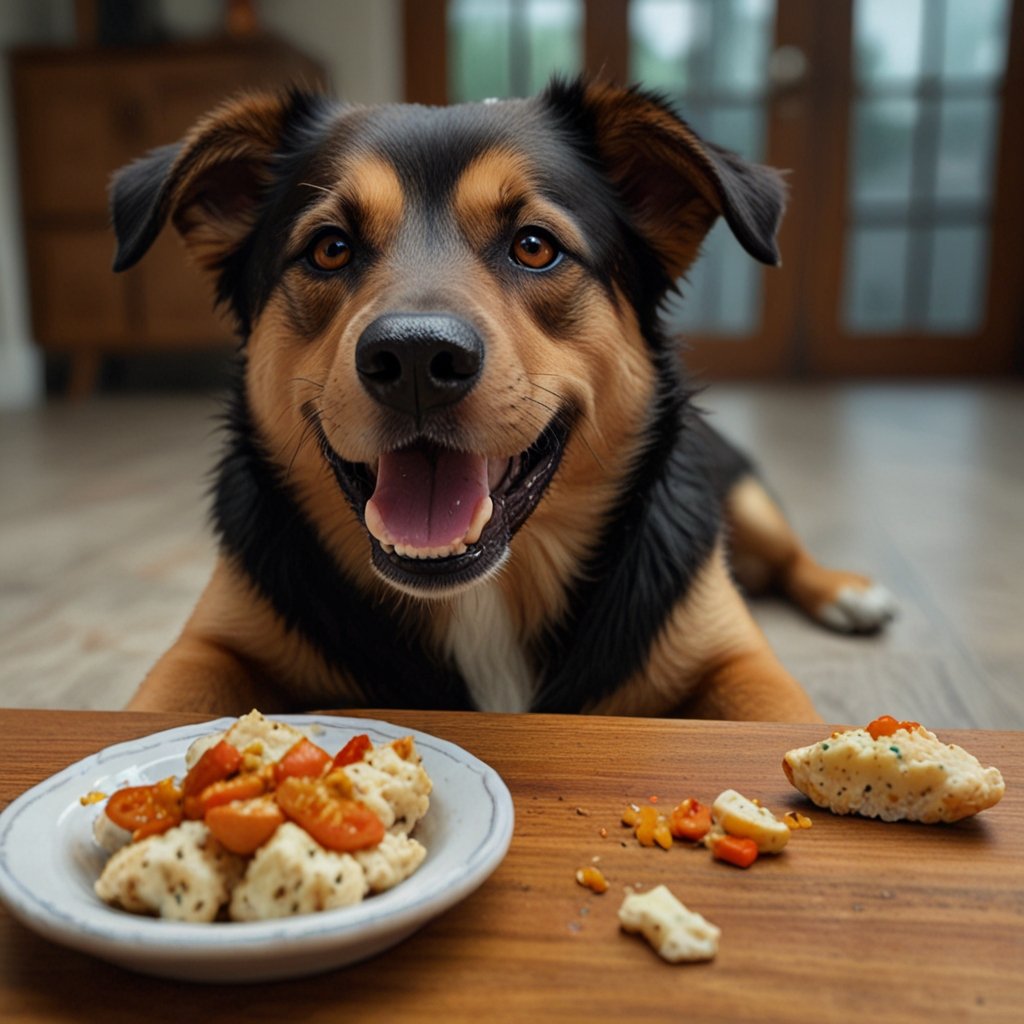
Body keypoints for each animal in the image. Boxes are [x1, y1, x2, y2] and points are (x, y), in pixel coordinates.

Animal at [112, 77, 892, 720]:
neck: (478, 601)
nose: (417, 358)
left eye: (535, 245)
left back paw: (849, 593)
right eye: (329, 248)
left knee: (784, 555)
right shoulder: (212, 645)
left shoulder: (736, 658)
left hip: (743, 496)